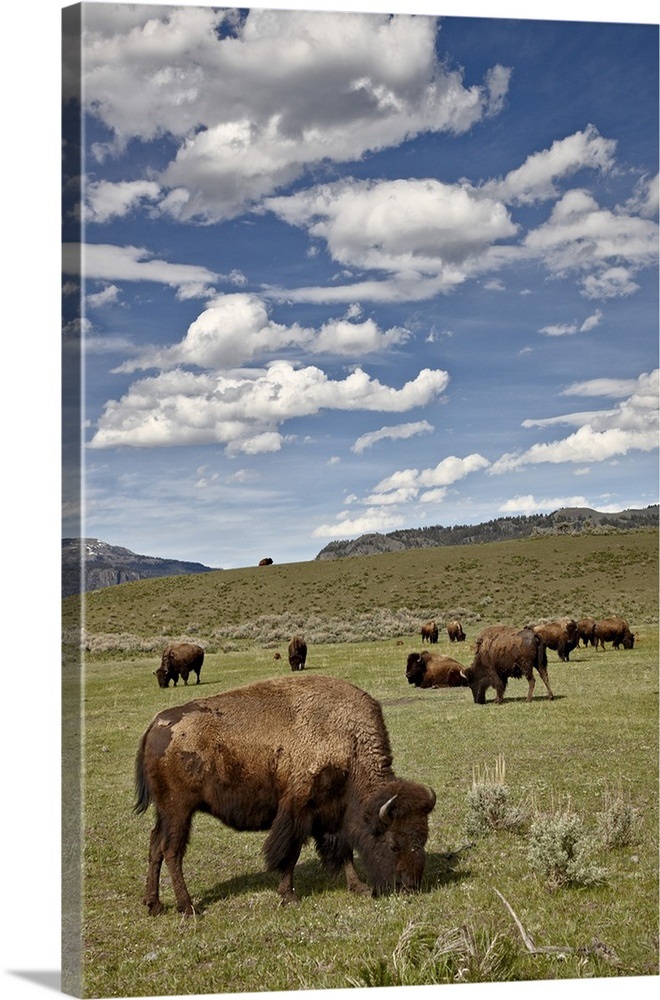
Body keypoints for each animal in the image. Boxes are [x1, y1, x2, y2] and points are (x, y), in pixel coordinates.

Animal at [134, 674, 437, 915]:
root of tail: (155, 725)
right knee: (172, 851)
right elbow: (289, 854)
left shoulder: (334, 814)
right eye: (393, 843)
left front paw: (358, 887)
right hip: (179, 810)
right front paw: (289, 896)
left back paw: (154, 905)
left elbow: (344, 852)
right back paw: (187, 907)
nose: (410, 886)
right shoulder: (298, 811)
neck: (348, 740)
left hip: (165, 812)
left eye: (423, 838)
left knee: (155, 845)